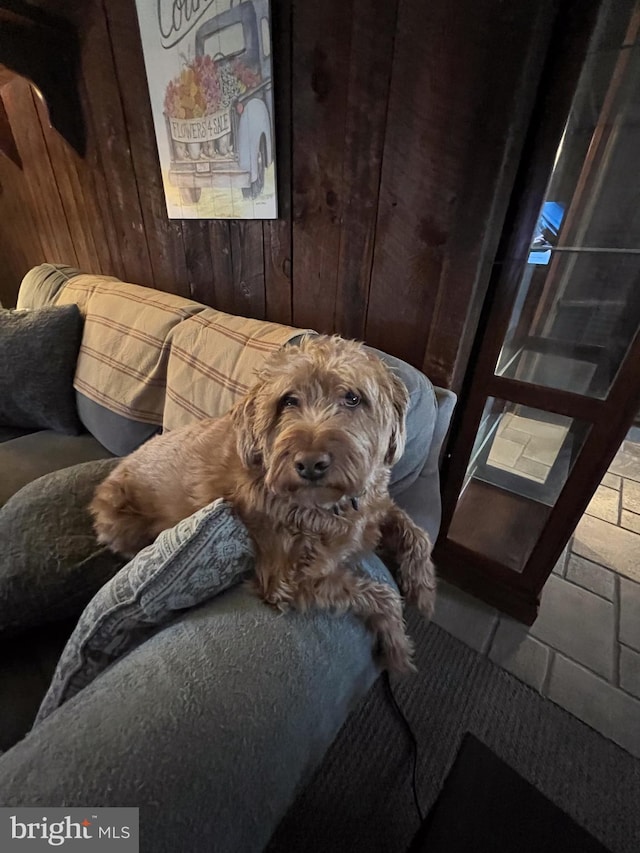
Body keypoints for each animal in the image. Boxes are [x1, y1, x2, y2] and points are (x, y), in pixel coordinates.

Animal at [90, 334, 436, 672]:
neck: (326, 507)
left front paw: (423, 589)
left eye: (353, 398)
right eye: (288, 400)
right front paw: (398, 648)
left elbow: (418, 534)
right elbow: (380, 594)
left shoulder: (375, 507)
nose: (310, 464)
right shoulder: (287, 579)